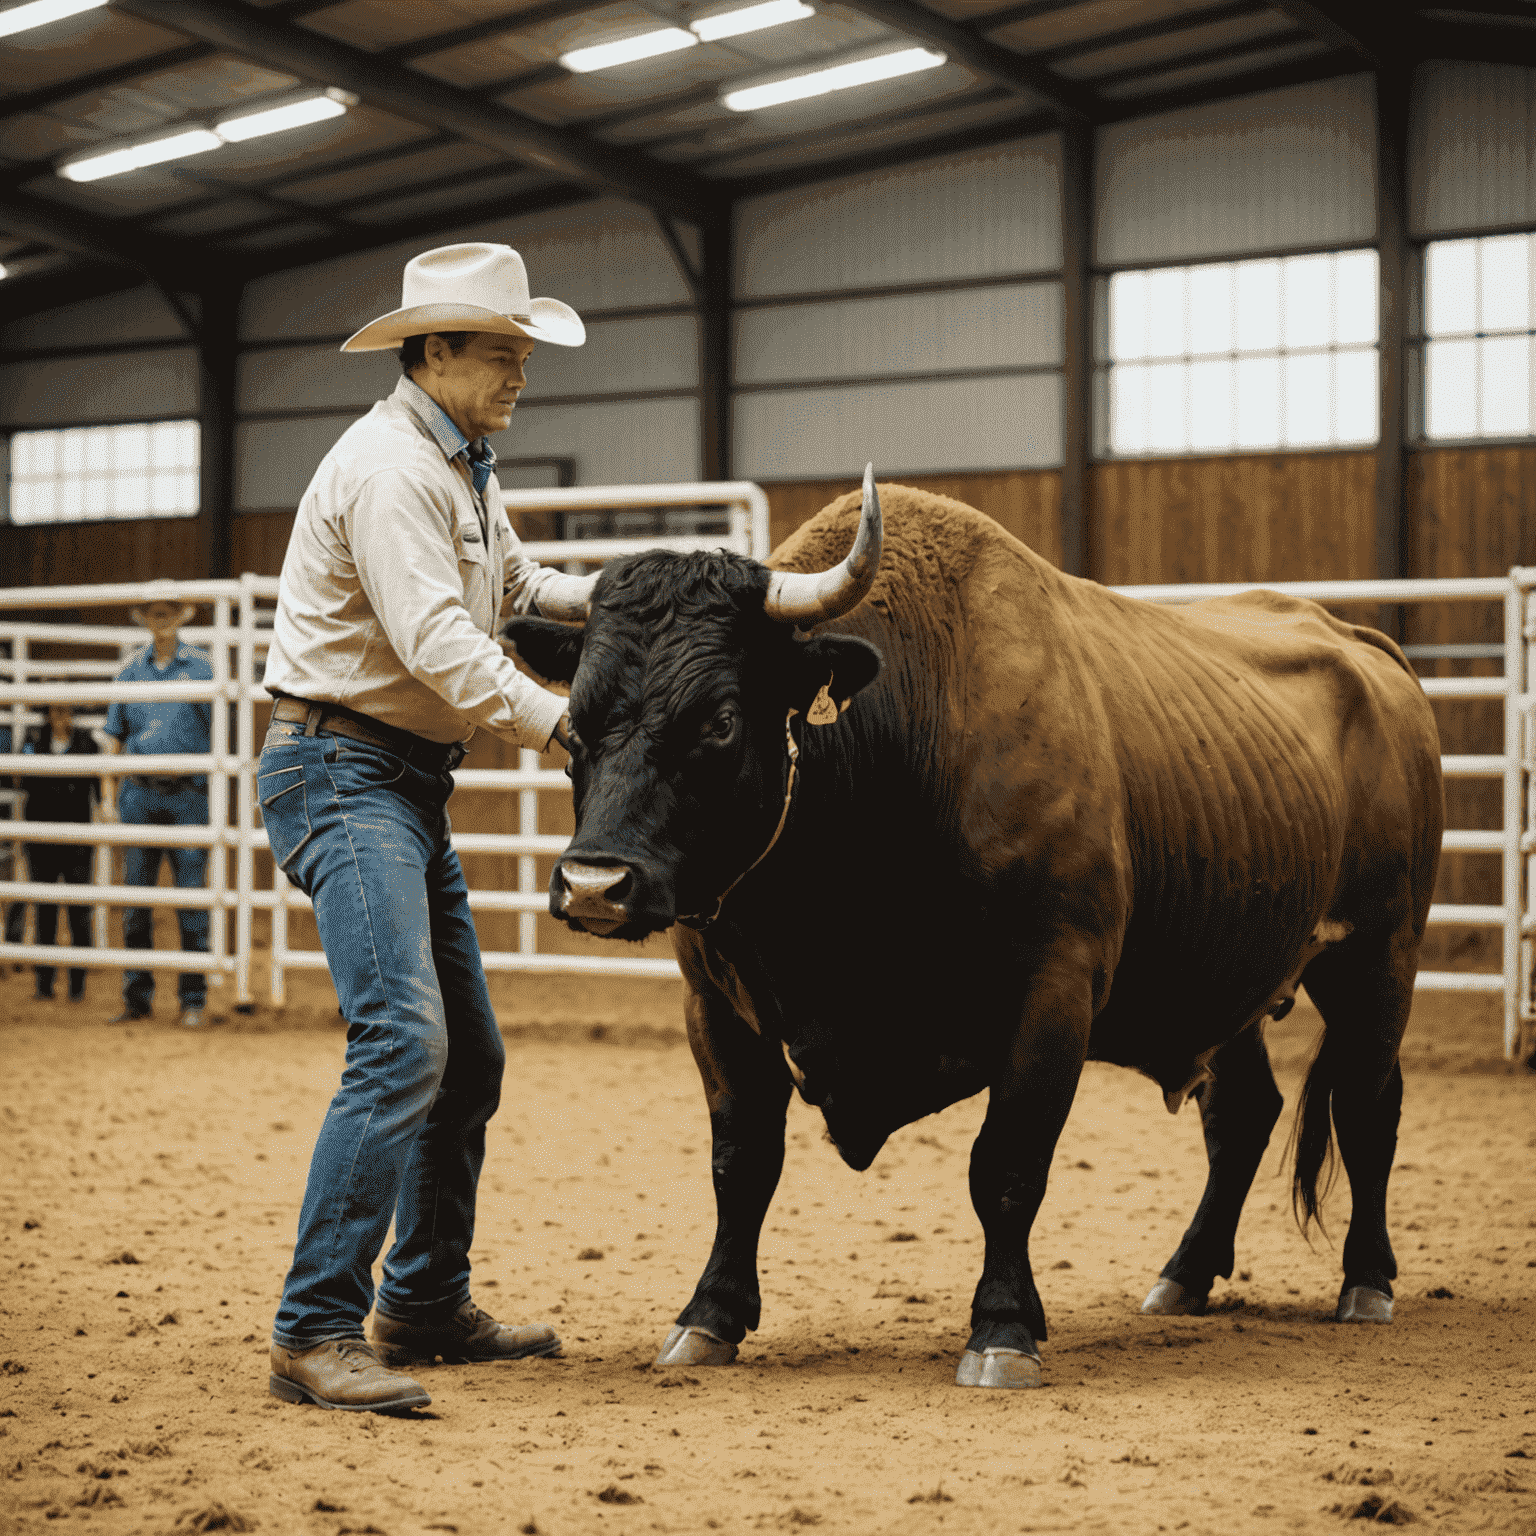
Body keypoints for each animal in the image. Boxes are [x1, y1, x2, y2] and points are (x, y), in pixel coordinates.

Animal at [509, 470, 1443, 1394]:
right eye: (576, 720)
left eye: (722, 718)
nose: (596, 883)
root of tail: (1365, 648)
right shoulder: (715, 999)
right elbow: (742, 1163)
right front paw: (709, 1314)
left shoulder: (1054, 989)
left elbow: (1006, 1165)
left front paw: (1002, 1326)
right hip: (1221, 978)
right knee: (1244, 1113)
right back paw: (1185, 1273)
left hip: (1379, 958)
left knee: (1369, 1105)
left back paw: (1367, 1280)